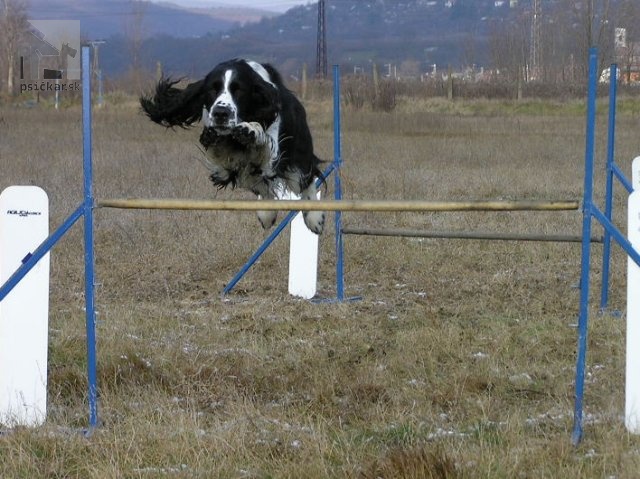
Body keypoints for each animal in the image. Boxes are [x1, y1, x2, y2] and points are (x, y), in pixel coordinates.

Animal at [139, 59, 324, 235]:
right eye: (212, 90)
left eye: (239, 90)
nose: (221, 113)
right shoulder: (227, 165)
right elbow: (222, 159)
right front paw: (211, 136)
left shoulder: (273, 155)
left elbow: (263, 143)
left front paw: (250, 130)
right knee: (263, 186)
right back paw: (267, 214)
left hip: (299, 156)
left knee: (305, 182)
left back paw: (315, 219)